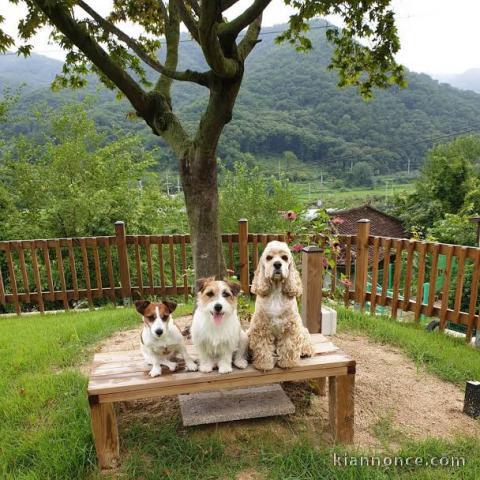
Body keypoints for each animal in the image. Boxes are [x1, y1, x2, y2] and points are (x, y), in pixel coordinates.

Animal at [248, 240, 316, 372]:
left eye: (284, 257)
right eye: (269, 258)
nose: (277, 264)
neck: (275, 290)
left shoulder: (291, 325)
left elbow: (288, 345)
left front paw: (287, 363)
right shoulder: (261, 326)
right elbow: (263, 347)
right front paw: (264, 364)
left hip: (303, 330)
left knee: (306, 341)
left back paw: (305, 351)